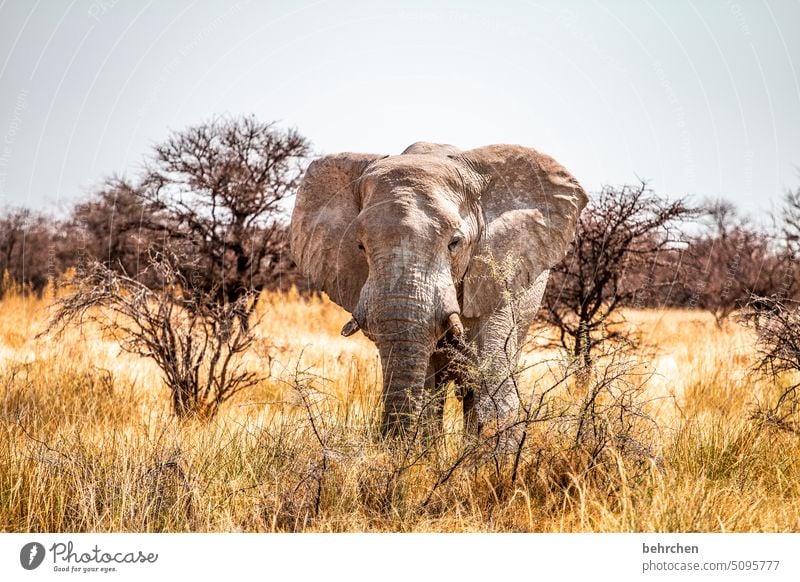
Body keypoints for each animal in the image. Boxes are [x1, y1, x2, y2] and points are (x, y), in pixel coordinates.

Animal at [290, 144, 588, 444]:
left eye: (454, 243)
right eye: (360, 246)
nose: (386, 442)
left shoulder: (498, 276)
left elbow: (493, 371)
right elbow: (429, 386)